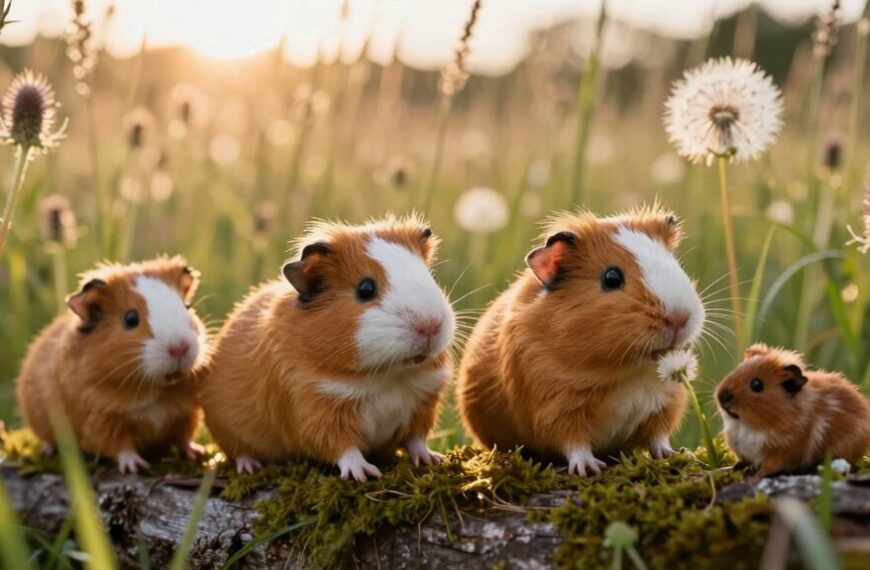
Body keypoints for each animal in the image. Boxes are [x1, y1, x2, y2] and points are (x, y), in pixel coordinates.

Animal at [15, 256, 209, 473]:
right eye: (131, 318)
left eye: (187, 306)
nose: (180, 347)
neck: (155, 392)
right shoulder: (101, 419)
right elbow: (120, 446)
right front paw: (135, 467)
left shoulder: (187, 412)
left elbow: (184, 438)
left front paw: (197, 453)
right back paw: (48, 451)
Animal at [200, 215, 456, 480]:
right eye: (366, 289)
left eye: (431, 275)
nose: (430, 326)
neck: (388, 375)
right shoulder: (316, 405)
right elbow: (340, 446)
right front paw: (364, 474)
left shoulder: (424, 400)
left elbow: (417, 440)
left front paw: (433, 460)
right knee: (240, 452)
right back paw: (250, 467)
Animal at [457, 206, 705, 476]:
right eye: (611, 278)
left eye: (678, 265)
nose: (679, 318)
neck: (629, 372)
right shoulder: (556, 406)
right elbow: (575, 443)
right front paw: (590, 468)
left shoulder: (667, 401)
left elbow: (658, 437)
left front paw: (674, 455)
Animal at [715, 343, 870, 477]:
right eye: (736, 370)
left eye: (757, 384)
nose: (722, 397)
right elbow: (741, 462)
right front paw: (730, 469)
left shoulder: (780, 452)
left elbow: (768, 468)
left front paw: (755, 477)